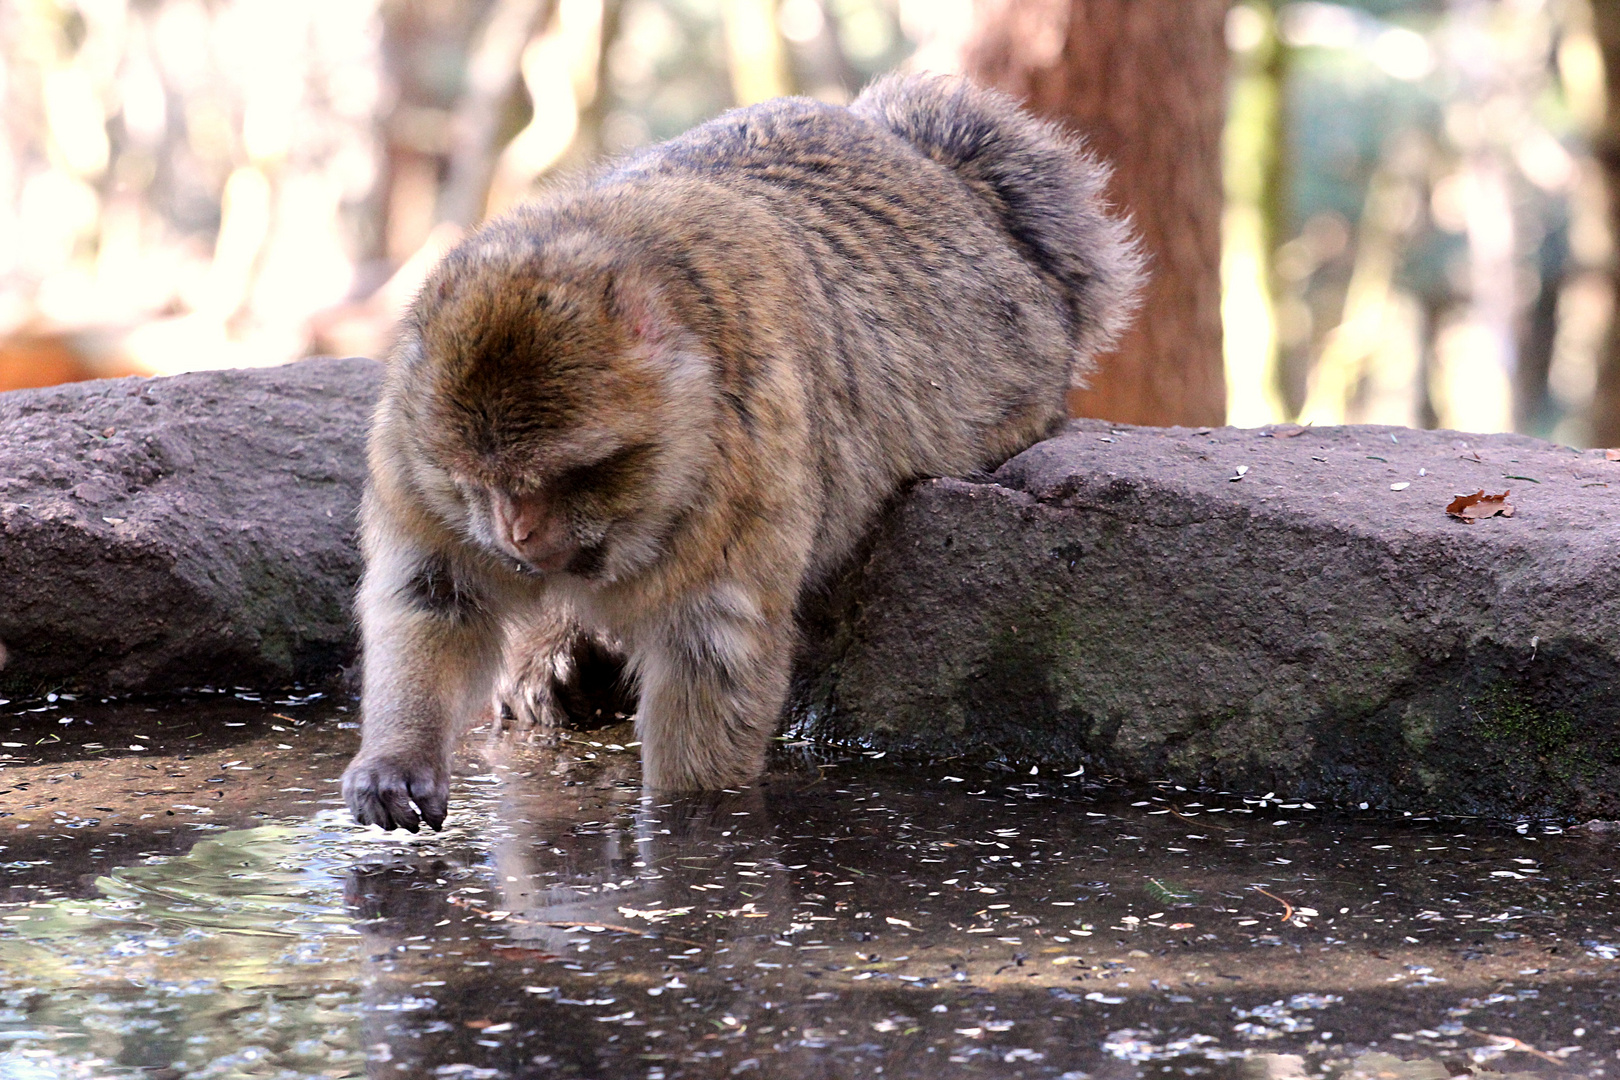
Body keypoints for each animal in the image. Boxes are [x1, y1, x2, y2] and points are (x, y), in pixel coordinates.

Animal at [343, 76, 1146, 835]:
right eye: (476, 482)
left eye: (573, 474)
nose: (517, 533)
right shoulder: (410, 456)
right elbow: (435, 598)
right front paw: (400, 757)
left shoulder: (744, 469)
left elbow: (711, 653)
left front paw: (685, 819)